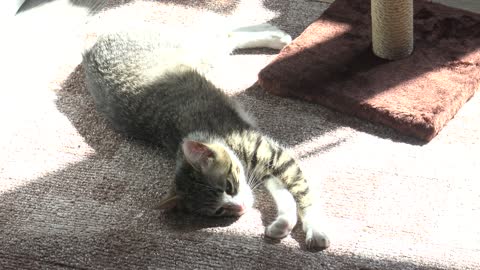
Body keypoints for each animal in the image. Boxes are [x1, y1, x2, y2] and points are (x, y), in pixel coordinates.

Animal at [82, 23, 330, 251]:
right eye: (219, 211)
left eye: (229, 186)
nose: (240, 208)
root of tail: (92, 47)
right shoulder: (263, 166)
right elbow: (283, 193)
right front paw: (283, 223)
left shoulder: (272, 153)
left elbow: (303, 192)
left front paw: (315, 229)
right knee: (227, 35)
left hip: (195, 49)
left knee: (224, 33)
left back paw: (276, 36)